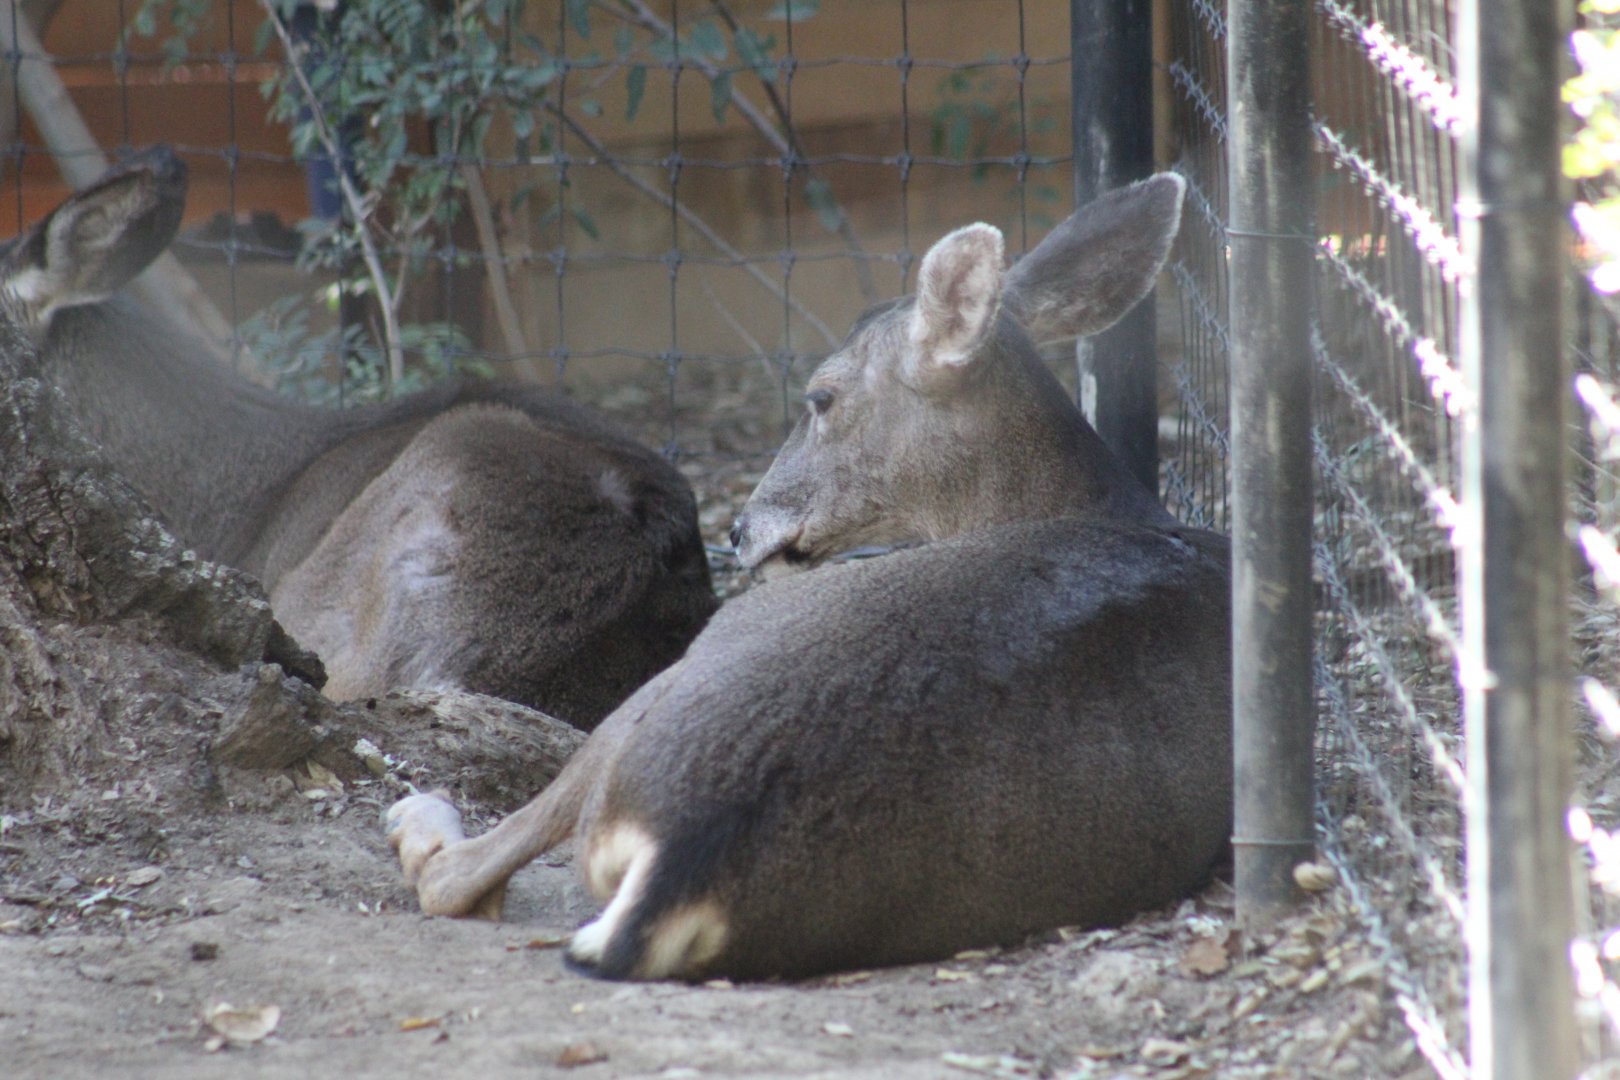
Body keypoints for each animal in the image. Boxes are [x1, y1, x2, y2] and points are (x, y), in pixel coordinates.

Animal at [384, 172, 1233, 980]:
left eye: (820, 395)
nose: (738, 528)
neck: (1113, 505)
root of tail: (678, 864)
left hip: (685, 669)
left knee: (462, 878)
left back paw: (415, 819)